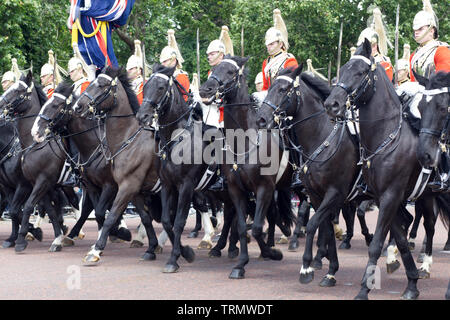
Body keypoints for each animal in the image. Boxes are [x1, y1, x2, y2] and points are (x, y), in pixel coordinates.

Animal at [324, 38, 450, 298]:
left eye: (360, 72)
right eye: (342, 70)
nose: (332, 104)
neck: (386, 136)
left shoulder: (391, 195)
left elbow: (375, 244)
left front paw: (364, 288)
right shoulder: (384, 196)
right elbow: (398, 237)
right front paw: (410, 283)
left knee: (430, 225)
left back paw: (427, 263)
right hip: (425, 195)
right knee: (426, 223)